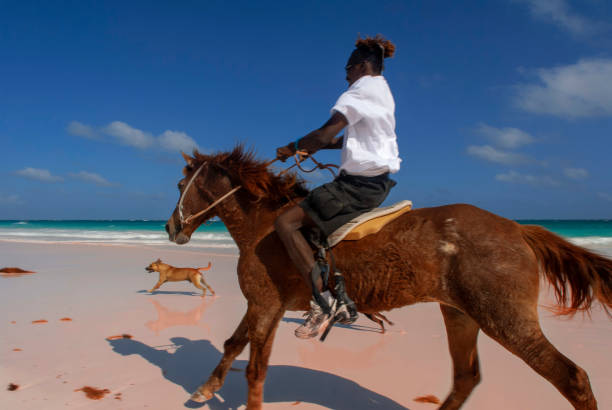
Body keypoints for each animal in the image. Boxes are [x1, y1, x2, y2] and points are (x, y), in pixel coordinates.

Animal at [164, 147, 612, 410]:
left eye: (181, 183)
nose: (171, 227)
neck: (263, 227)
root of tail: (519, 228)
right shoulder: (263, 306)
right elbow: (233, 345)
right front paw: (205, 388)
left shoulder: (265, 304)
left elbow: (255, 369)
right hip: (460, 315)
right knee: (466, 378)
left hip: (506, 320)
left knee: (572, 378)